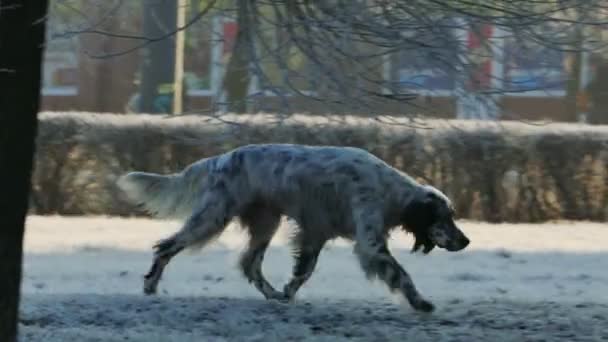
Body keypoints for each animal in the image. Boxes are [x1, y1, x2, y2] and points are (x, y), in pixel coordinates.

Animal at [119, 143, 470, 312]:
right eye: (445, 218)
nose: (466, 241)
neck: (390, 191)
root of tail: (221, 158)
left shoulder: (316, 233)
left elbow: (303, 271)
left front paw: (287, 293)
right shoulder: (370, 244)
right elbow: (401, 275)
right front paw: (421, 303)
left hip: (265, 222)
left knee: (250, 264)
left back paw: (272, 294)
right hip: (212, 217)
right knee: (166, 247)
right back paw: (151, 284)